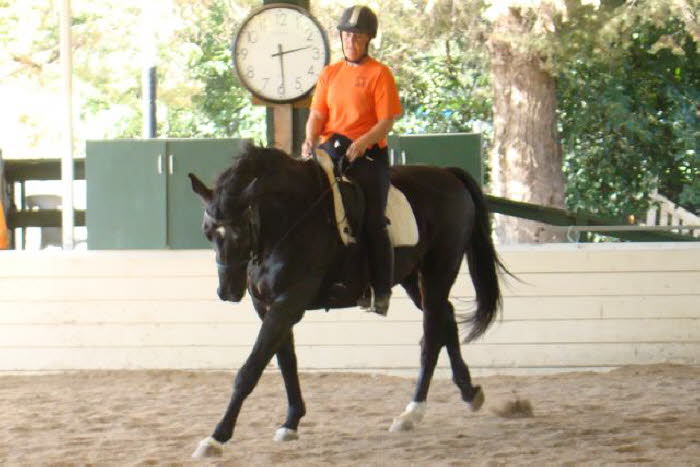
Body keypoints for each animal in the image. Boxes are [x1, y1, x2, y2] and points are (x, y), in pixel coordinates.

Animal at [189, 144, 506, 458]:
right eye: (207, 232)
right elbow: (286, 362)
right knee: (446, 318)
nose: (228, 292)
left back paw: (412, 413)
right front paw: (291, 422)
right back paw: (469, 392)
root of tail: (447, 175)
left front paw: (216, 437)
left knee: (431, 337)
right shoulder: (268, 306)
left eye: (242, 231)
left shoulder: (288, 303)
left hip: (438, 271)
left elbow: (251, 368)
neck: (291, 218)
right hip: (413, 279)